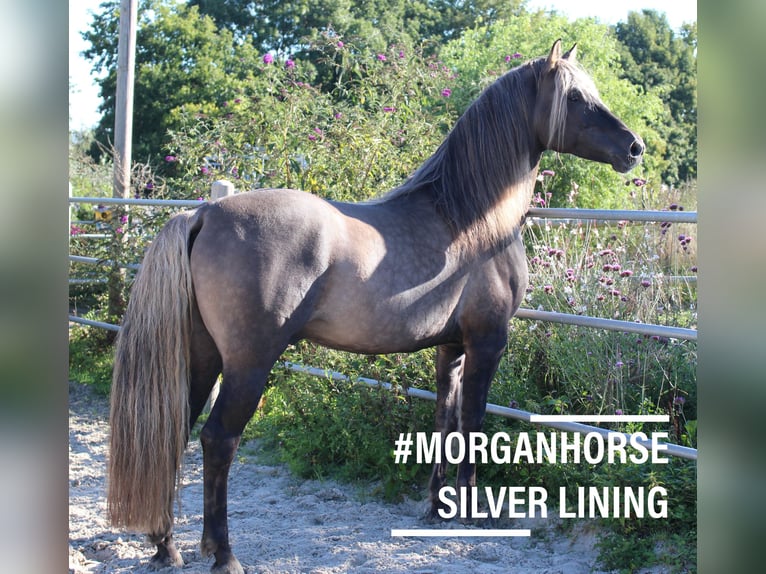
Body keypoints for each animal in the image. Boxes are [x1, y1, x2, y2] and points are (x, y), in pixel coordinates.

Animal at [107, 40, 644, 573]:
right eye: (575, 98)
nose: (634, 147)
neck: (469, 217)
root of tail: (205, 212)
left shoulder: (450, 348)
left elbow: (444, 420)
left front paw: (438, 505)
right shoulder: (487, 341)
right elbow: (473, 421)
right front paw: (473, 509)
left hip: (201, 356)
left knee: (174, 433)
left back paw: (166, 546)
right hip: (248, 363)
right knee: (218, 440)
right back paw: (223, 554)